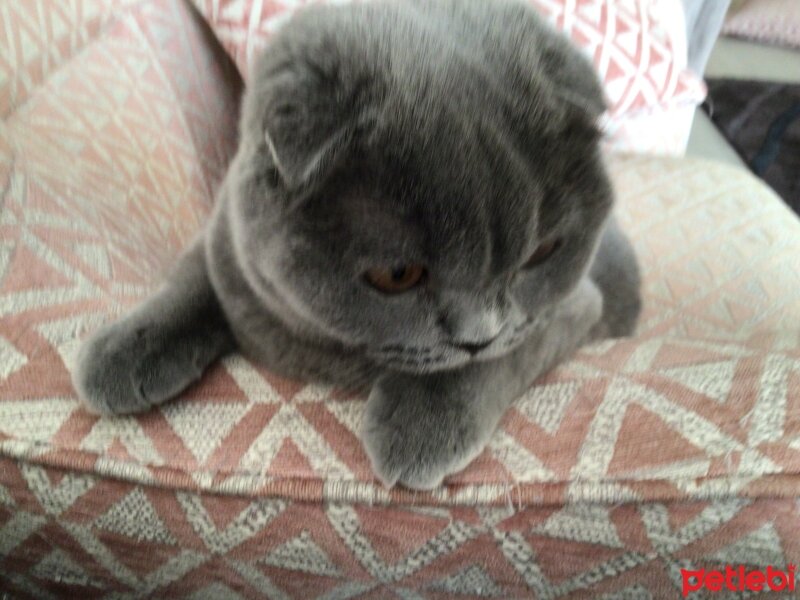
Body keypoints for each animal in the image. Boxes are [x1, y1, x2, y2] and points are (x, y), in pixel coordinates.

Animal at [72, 0, 640, 490]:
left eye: (542, 253)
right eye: (397, 275)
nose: (478, 336)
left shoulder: (573, 305)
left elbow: (505, 355)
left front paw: (422, 425)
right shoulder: (224, 233)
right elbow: (193, 277)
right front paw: (123, 349)